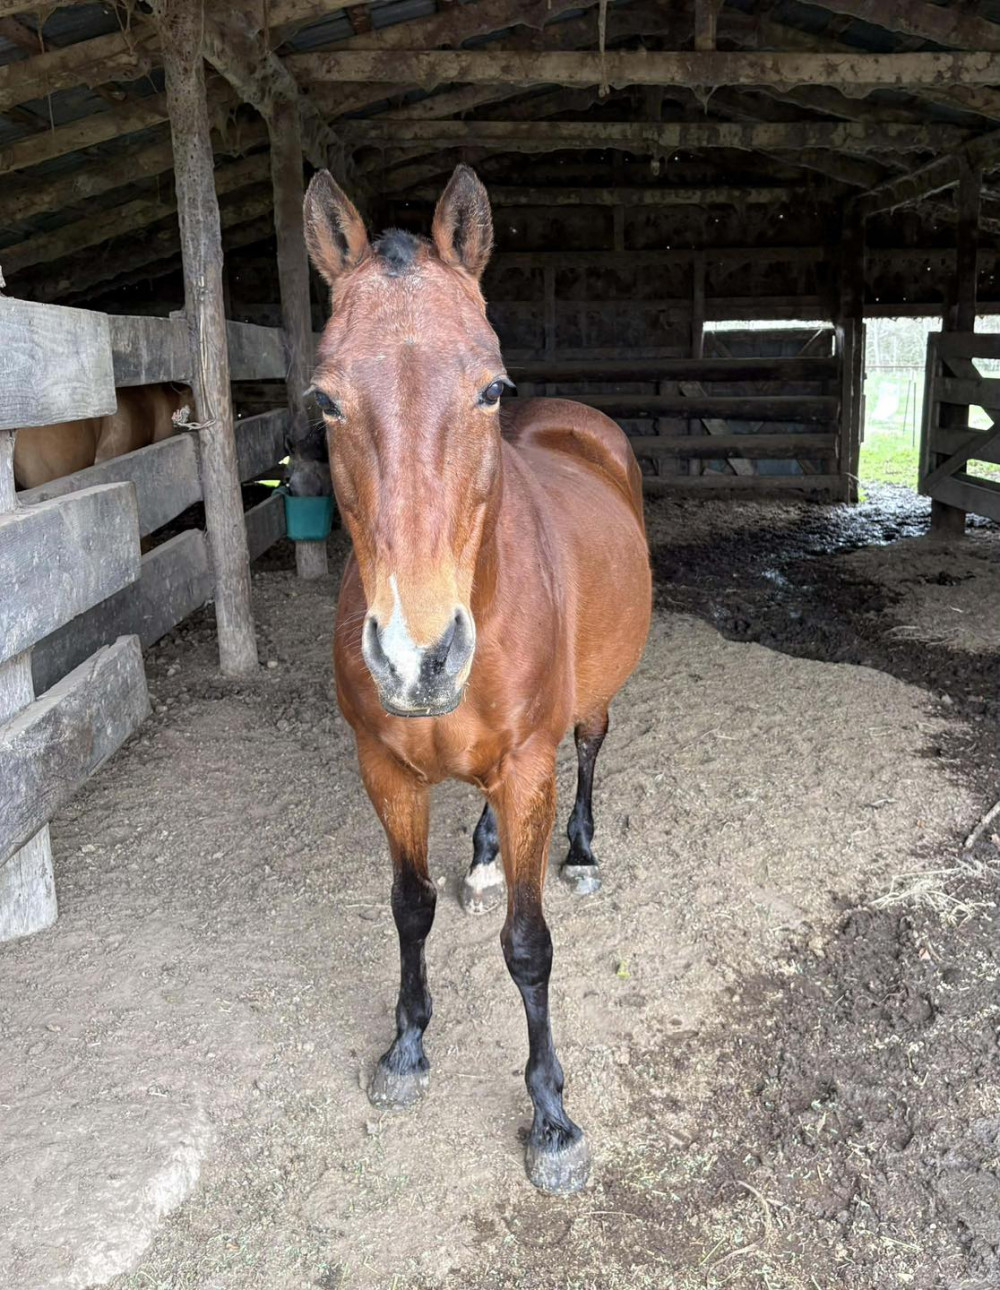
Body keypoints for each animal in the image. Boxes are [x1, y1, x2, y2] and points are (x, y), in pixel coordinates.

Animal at [304, 165, 651, 1194]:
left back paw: (578, 853)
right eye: (325, 401)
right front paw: (405, 1048)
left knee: (590, 751)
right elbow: (408, 907)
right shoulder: (386, 770)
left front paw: (552, 1119)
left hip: (584, 716)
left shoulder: (530, 765)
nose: (417, 657)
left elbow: (529, 950)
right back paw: (491, 858)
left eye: (491, 387)